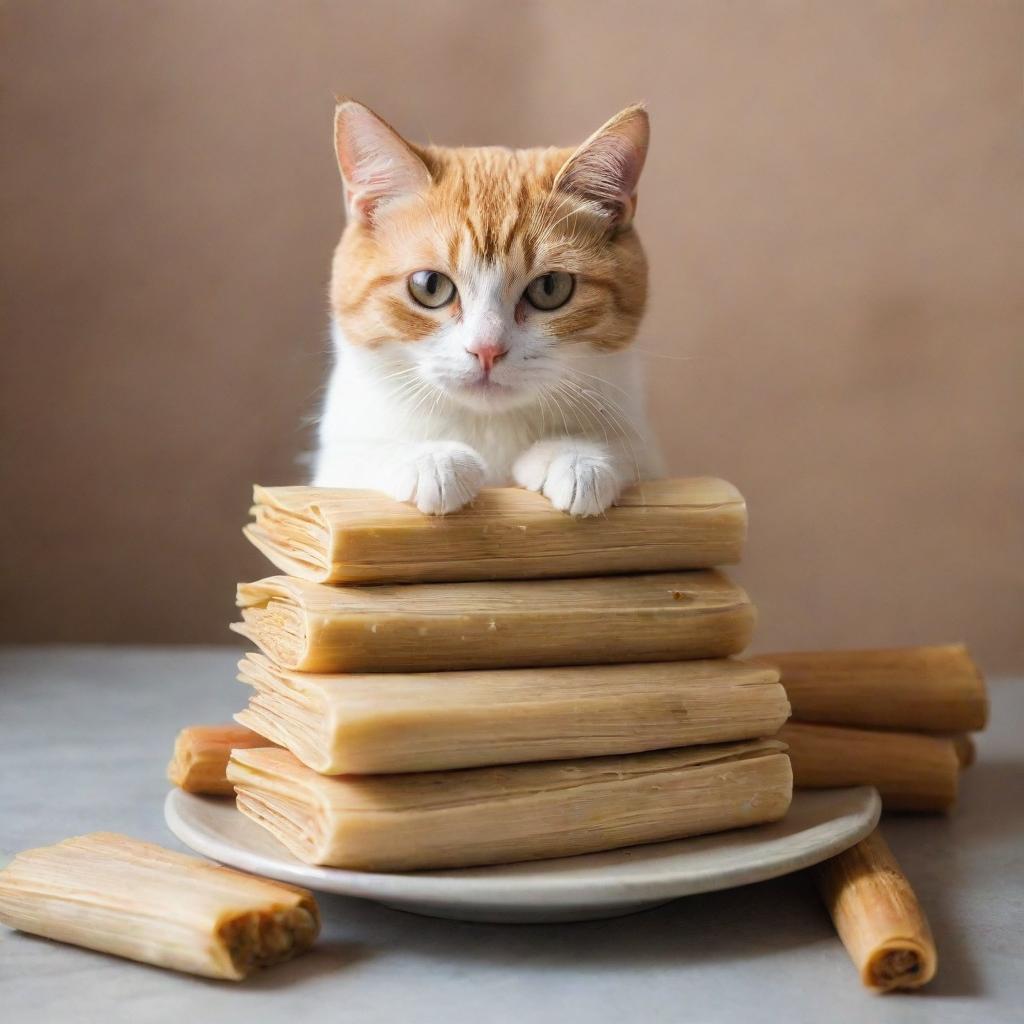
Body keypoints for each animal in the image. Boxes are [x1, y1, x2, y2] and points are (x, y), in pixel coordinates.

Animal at [311, 99, 663, 516]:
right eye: (430, 286)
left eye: (550, 288)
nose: (487, 350)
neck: (489, 425)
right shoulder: (336, 460)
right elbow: (355, 462)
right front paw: (429, 459)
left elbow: (630, 452)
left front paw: (576, 457)